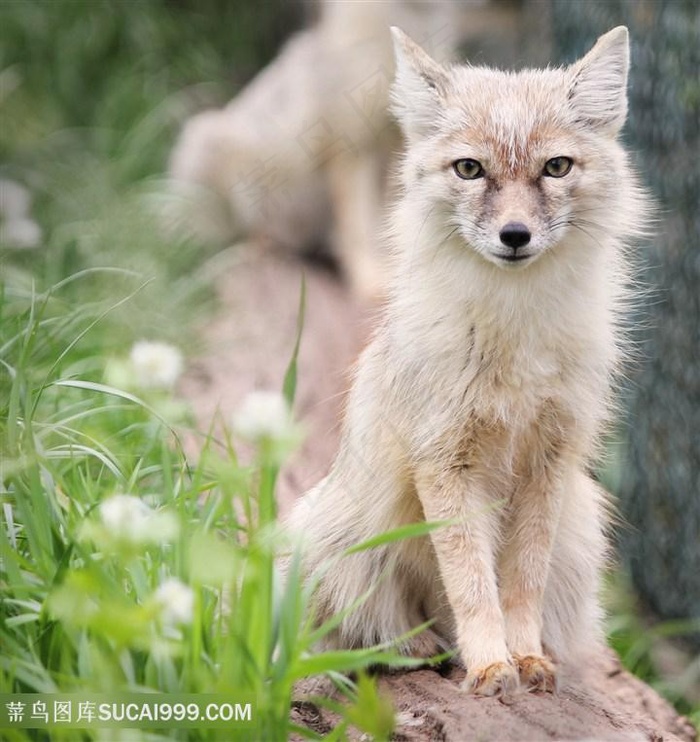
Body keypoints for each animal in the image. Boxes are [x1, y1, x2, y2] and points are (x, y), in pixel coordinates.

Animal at [286, 24, 652, 696]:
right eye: (470, 169)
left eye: (555, 167)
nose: (515, 236)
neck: (514, 337)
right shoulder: (445, 460)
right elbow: (473, 584)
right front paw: (487, 664)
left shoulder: (548, 461)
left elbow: (521, 581)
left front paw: (524, 656)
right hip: (339, 540)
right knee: (372, 631)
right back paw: (423, 648)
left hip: (582, 522)